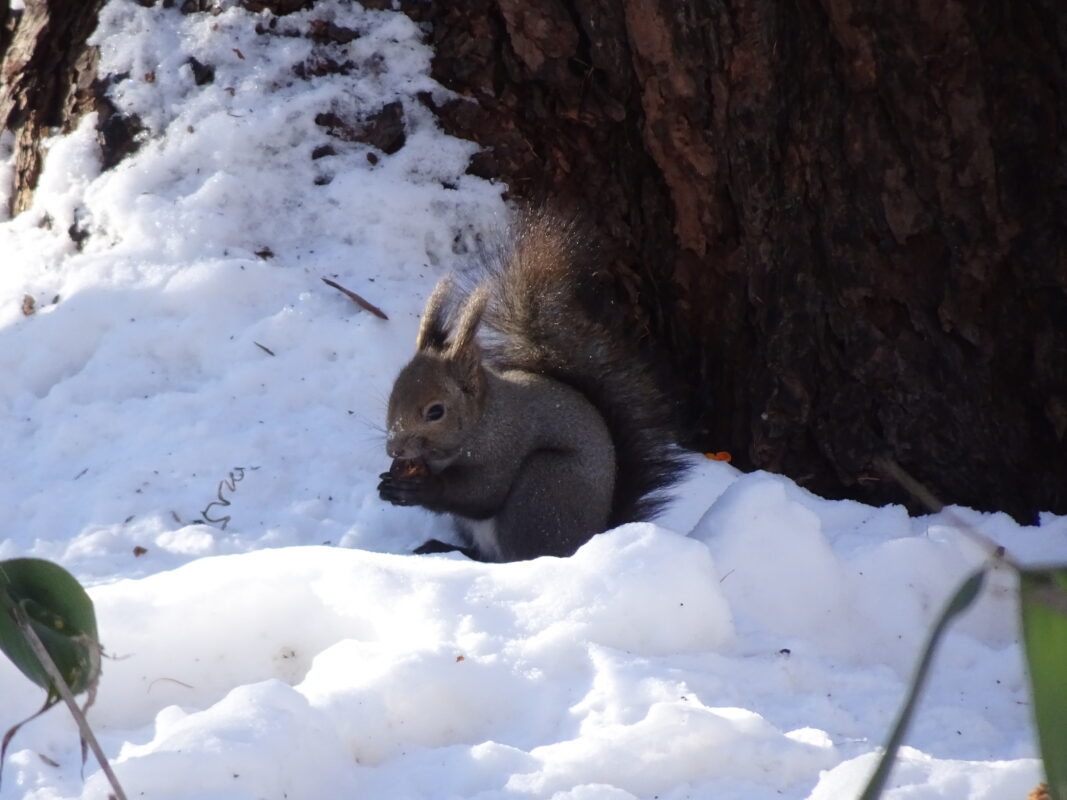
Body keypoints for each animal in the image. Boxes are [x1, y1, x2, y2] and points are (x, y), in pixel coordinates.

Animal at [379, 213, 687, 563]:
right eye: (393, 394)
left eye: (435, 411)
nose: (394, 449)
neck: (481, 421)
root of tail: (592, 536)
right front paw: (390, 480)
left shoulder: (504, 448)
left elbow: (481, 494)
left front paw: (418, 489)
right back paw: (444, 547)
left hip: (541, 491)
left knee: (514, 558)